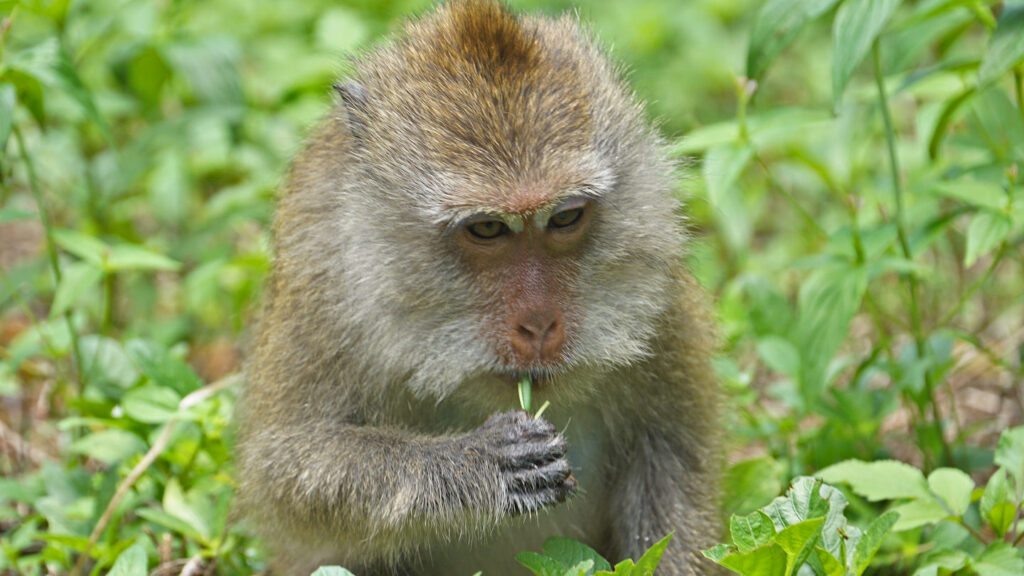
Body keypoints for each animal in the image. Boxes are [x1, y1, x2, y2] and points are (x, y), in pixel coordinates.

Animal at [235, 1, 724, 573]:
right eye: (488, 228)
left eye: (565, 217)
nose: (538, 323)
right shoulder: (322, 272)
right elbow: (284, 467)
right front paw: (475, 464)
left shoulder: (655, 279)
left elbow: (671, 453)